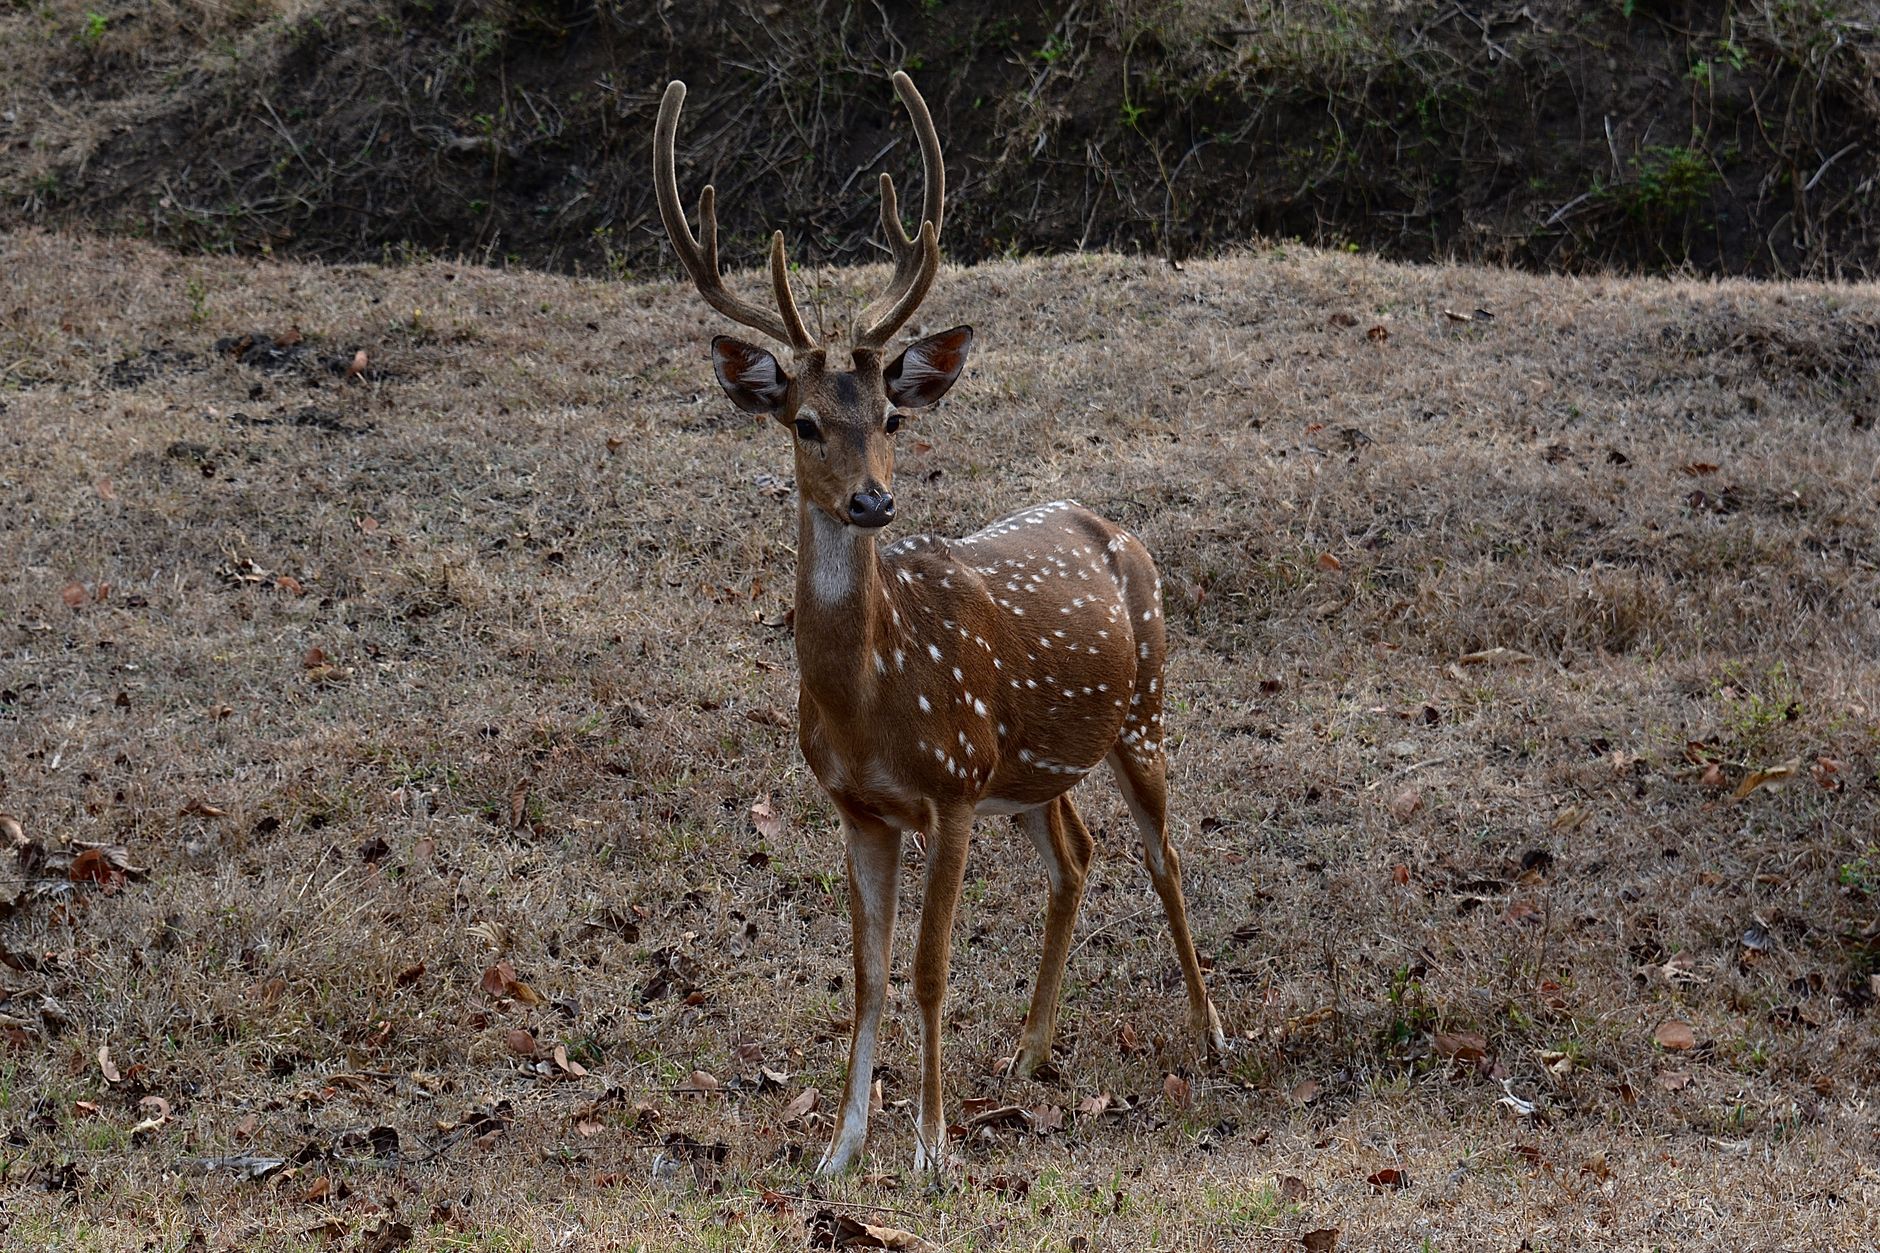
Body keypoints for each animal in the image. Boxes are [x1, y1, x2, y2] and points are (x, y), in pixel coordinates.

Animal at [653, 72, 1225, 1175]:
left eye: (891, 416)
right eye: (804, 421)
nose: (873, 501)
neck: (870, 697)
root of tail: (1116, 530)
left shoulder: (952, 785)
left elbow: (927, 965)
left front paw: (929, 1146)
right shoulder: (859, 806)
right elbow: (867, 972)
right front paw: (839, 1149)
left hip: (1143, 711)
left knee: (1164, 856)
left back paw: (1212, 1032)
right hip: (1033, 768)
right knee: (1078, 853)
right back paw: (1030, 1049)